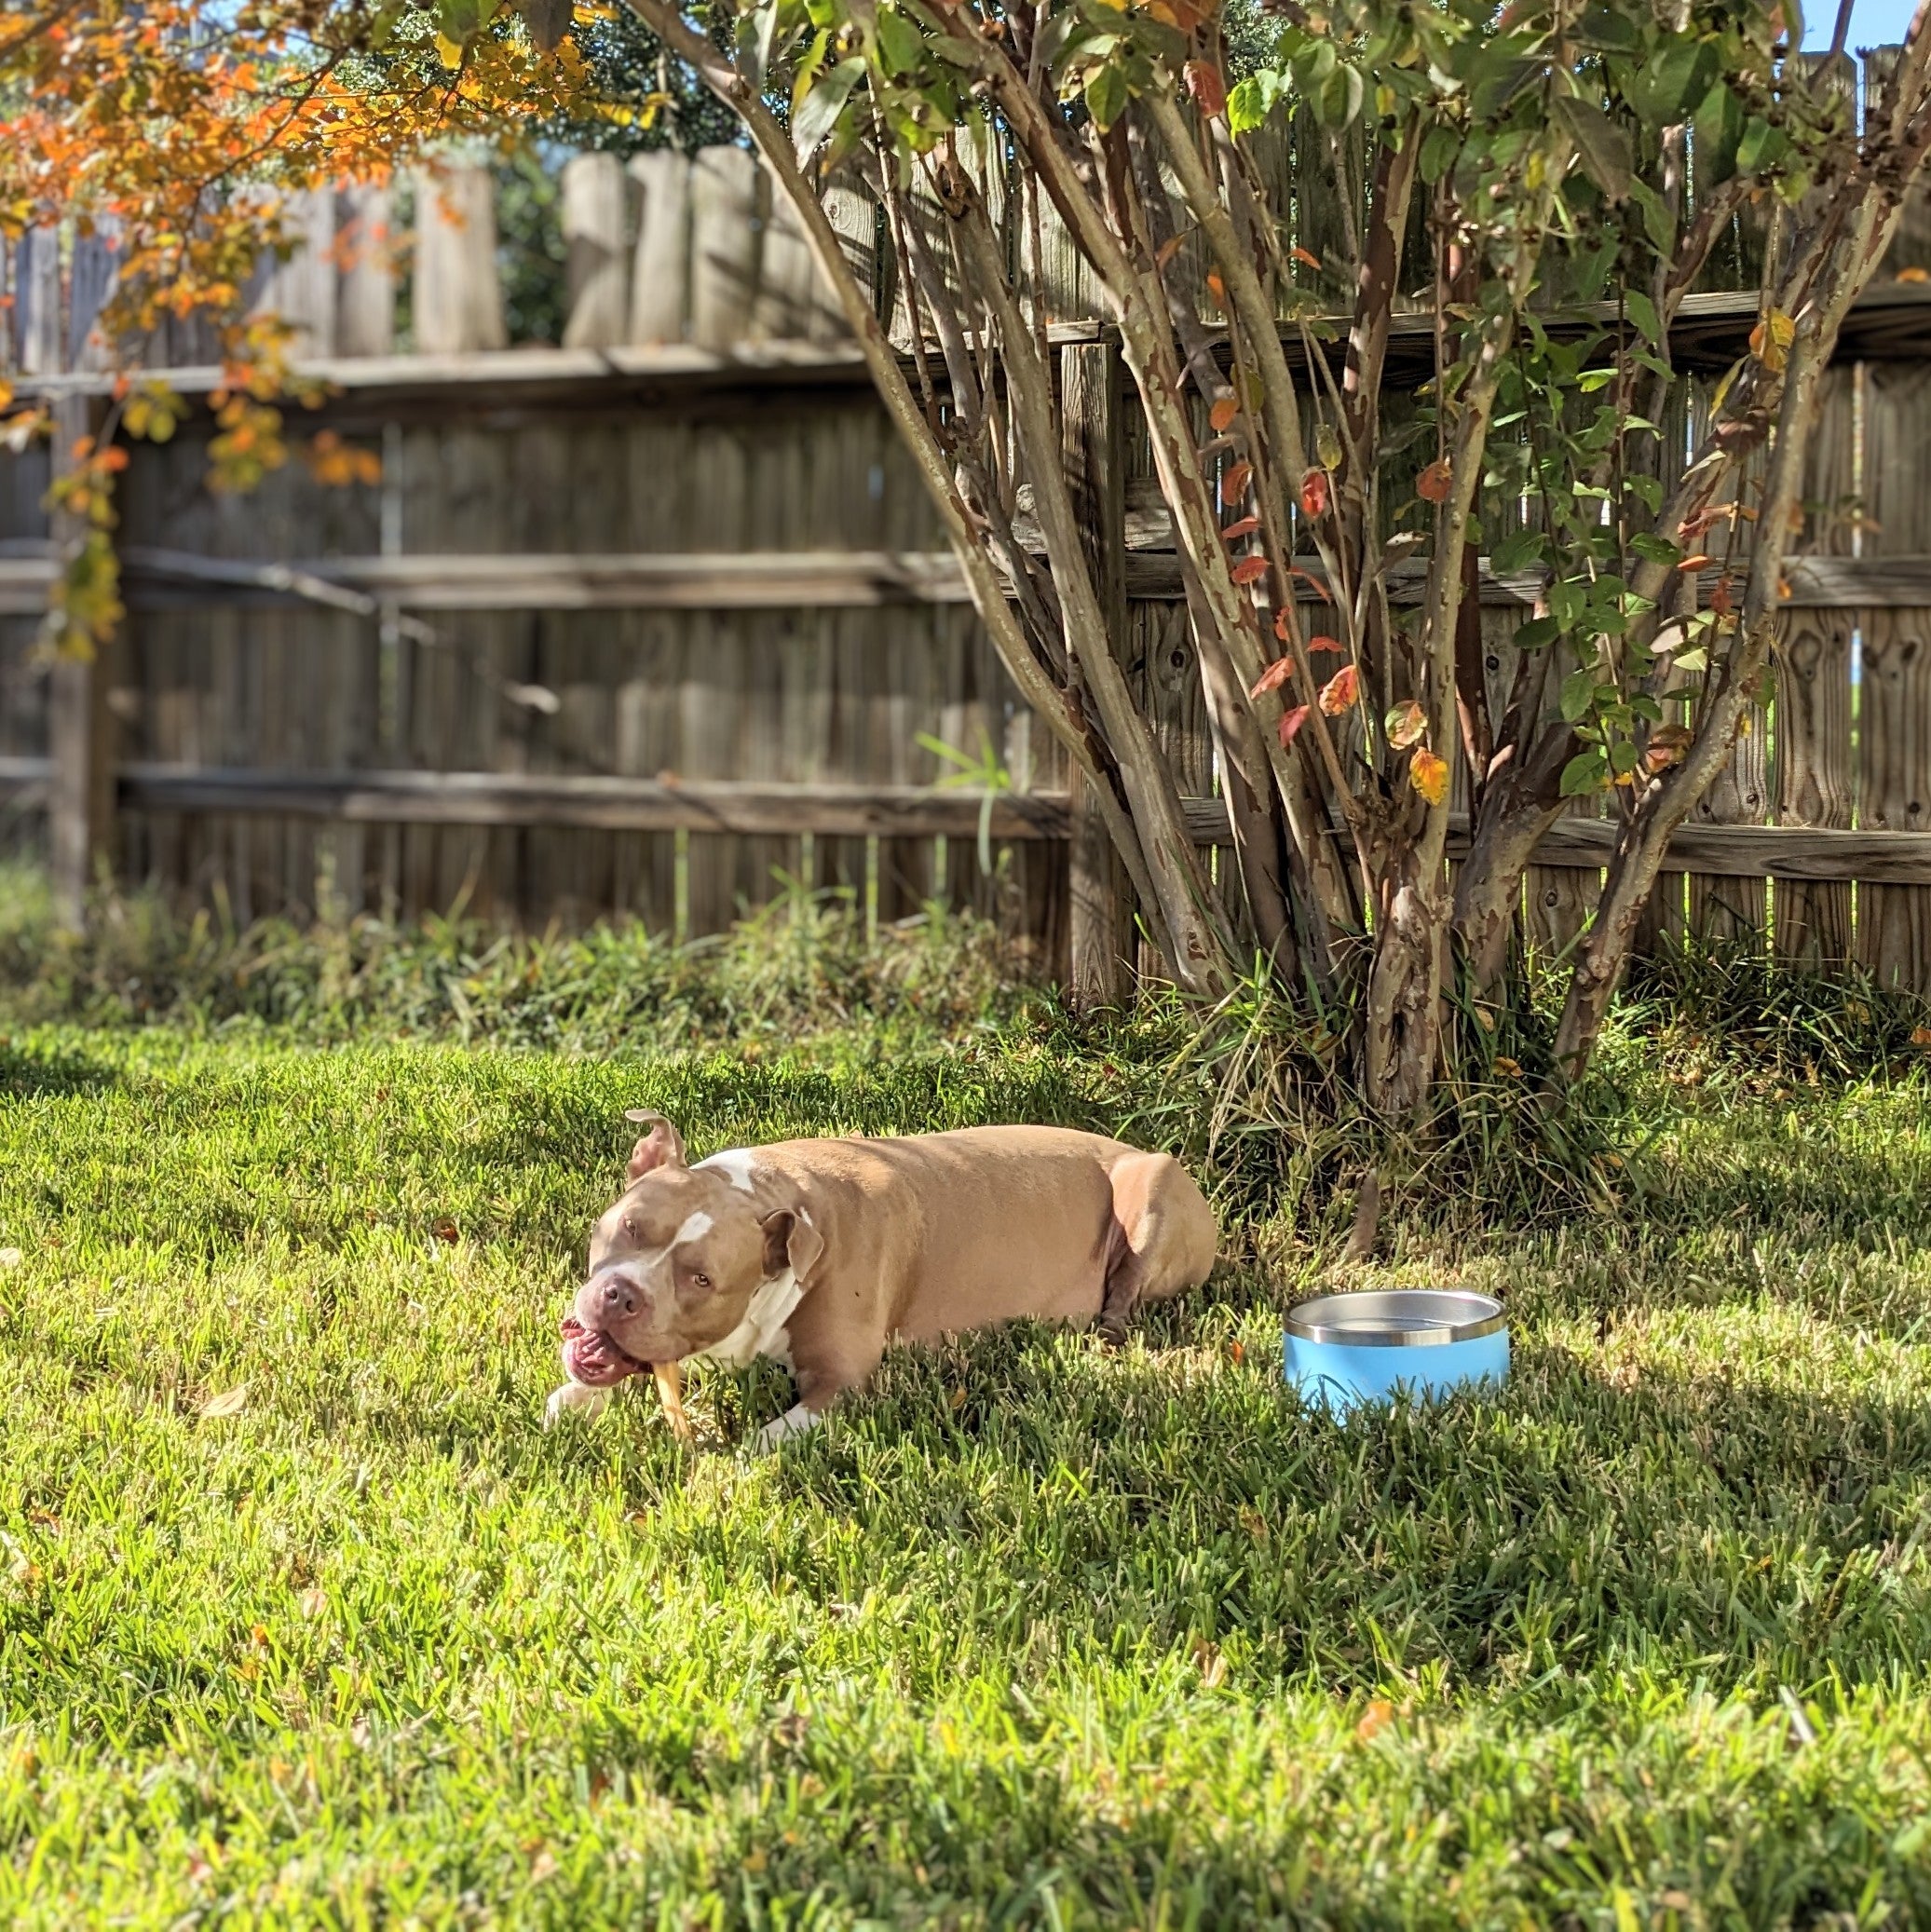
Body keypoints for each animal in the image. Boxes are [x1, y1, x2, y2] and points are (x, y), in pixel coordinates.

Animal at [544, 1112, 1212, 1445]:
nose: (619, 1295)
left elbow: (760, 1443)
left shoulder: (841, 1383)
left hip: (1152, 1191)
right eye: (630, 1225)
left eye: (701, 1279)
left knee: (1122, 1302)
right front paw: (573, 1401)